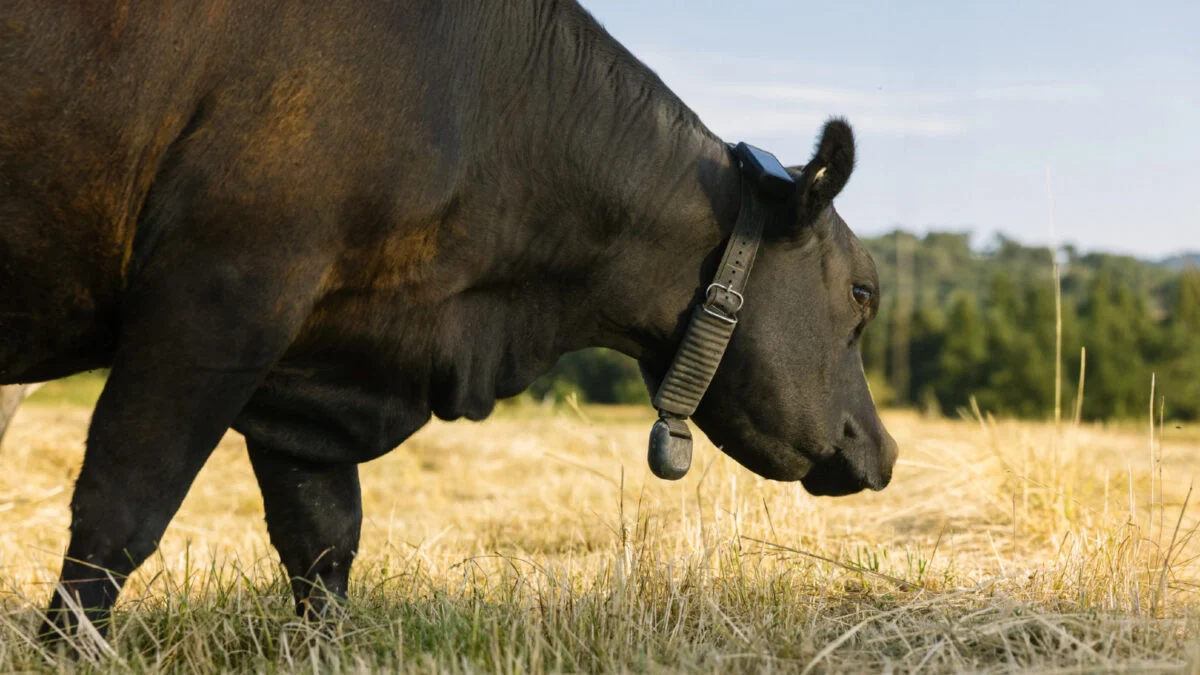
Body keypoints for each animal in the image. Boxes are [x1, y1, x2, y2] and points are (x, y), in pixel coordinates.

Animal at [0, 0, 898, 642]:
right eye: (863, 293)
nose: (882, 448)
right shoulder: (219, 296)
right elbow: (119, 514)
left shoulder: (311, 366)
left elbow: (322, 540)